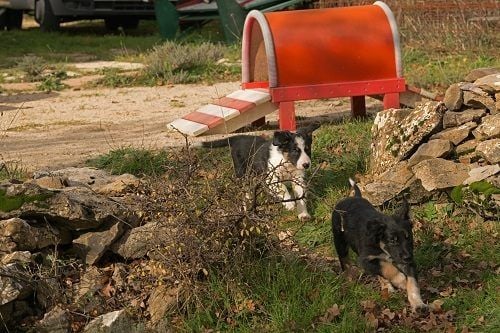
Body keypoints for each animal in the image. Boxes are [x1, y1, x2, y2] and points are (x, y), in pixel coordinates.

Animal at [332, 179, 426, 312]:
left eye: (408, 237)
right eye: (392, 240)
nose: (408, 257)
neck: (380, 244)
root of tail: (353, 197)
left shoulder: (406, 261)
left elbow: (412, 282)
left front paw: (418, 304)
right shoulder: (365, 260)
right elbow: (386, 268)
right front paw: (402, 281)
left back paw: (387, 287)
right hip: (340, 242)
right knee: (344, 261)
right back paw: (350, 279)